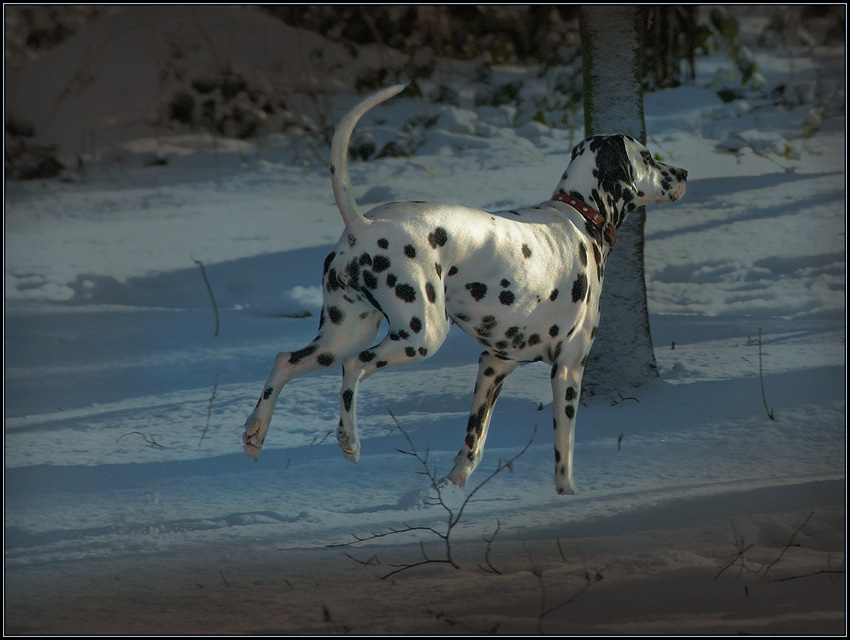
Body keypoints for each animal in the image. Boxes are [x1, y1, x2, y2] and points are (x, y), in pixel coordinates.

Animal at [242, 84, 684, 496]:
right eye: (647, 156)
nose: (682, 174)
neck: (581, 216)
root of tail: (362, 224)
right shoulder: (568, 369)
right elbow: (564, 453)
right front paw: (568, 499)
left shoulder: (493, 366)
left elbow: (473, 445)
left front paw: (450, 494)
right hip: (419, 337)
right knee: (354, 368)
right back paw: (349, 440)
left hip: (341, 335)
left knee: (285, 361)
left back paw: (255, 433)